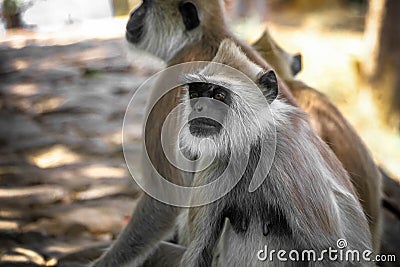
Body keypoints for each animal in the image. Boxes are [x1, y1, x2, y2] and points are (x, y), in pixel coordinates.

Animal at [178, 38, 372, 267]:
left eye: (218, 95)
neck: (251, 145)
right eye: (196, 93)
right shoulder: (215, 160)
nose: (198, 108)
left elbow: (328, 251)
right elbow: (198, 248)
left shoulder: (288, 152)